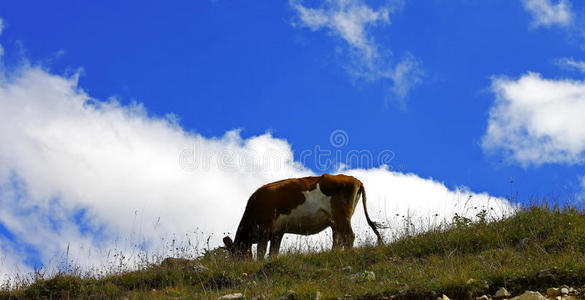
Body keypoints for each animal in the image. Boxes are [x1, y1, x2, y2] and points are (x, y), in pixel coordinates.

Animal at [220, 173, 384, 260]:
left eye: (235, 254)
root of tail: (355, 179)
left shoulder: (265, 227)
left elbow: (261, 251)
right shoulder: (277, 233)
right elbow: (273, 252)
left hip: (342, 215)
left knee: (349, 236)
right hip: (337, 220)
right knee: (339, 238)